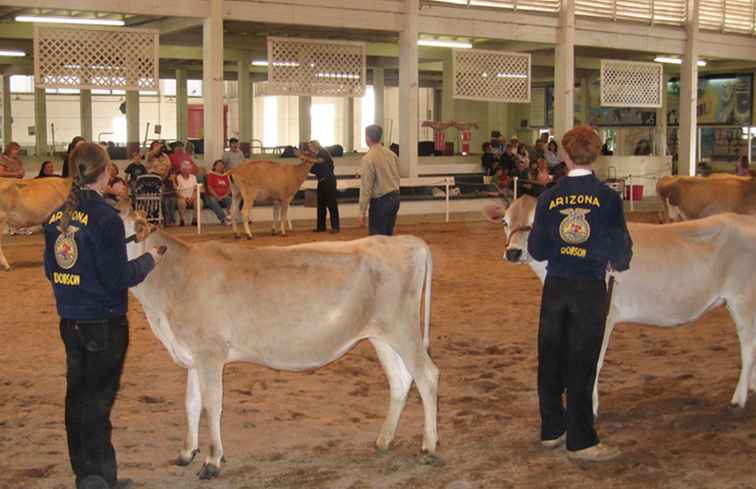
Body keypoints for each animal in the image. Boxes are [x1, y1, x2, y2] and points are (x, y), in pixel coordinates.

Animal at [122, 209, 440, 476]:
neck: (174, 279)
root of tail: (406, 241)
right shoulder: (191, 355)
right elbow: (191, 403)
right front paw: (187, 452)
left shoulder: (209, 352)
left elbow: (212, 404)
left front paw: (212, 461)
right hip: (381, 336)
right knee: (400, 380)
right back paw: (383, 440)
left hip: (403, 329)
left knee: (427, 375)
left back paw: (429, 445)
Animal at [488, 194, 756, 416]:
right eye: (505, 222)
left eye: (536, 222)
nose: (513, 252)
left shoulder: (601, 315)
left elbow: (592, 361)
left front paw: (589, 409)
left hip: (743, 299)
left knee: (748, 346)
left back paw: (739, 398)